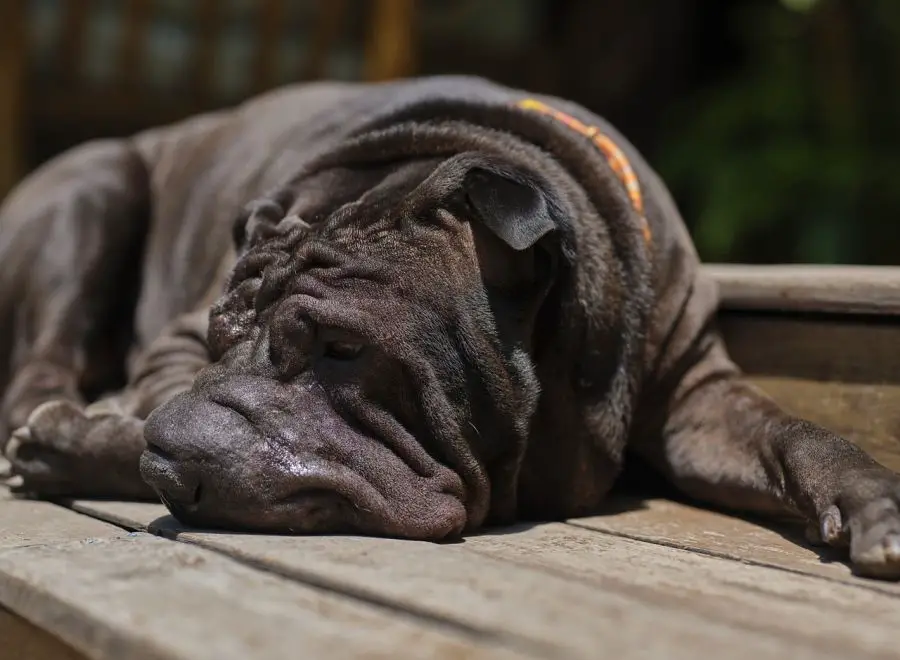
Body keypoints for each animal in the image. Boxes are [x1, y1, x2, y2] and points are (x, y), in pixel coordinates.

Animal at [0, 76, 896, 576]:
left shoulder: (698, 398)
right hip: (95, 183)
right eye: (223, 338)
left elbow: (798, 433)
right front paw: (82, 441)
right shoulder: (178, 335)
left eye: (343, 348)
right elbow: (154, 396)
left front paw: (874, 502)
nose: (178, 458)